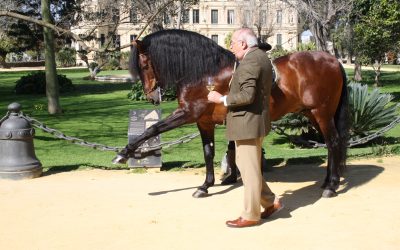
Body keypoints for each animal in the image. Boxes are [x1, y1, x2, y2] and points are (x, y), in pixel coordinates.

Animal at [116, 28, 350, 198]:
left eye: (144, 64)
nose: (151, 96)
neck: (206, 72)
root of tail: (333, 60)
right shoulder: (204, 122)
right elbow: (208, 152)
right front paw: (205, 185)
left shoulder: (187, 114)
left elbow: (152, 129)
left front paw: (124, 153)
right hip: (313, 113)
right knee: (330, 144)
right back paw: (326, 182)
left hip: (322, 113)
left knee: (333, 142)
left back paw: (332, 185)